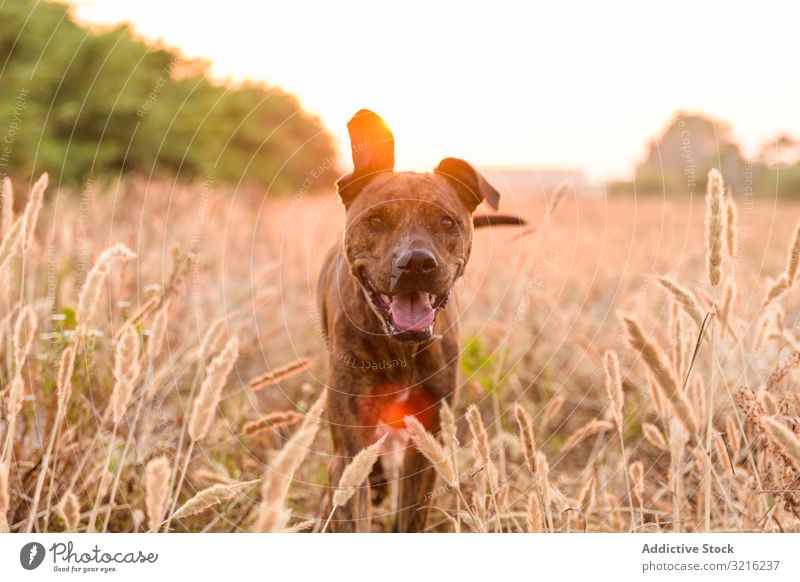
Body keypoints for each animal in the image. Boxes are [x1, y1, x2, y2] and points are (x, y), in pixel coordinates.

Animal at [318, 109, 524, 532]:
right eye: (376, 220)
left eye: (446, 222)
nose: (415, 262)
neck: (399, 345)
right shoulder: (349, 443)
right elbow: (352, 501)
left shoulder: (427, 437)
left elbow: (411, 515)